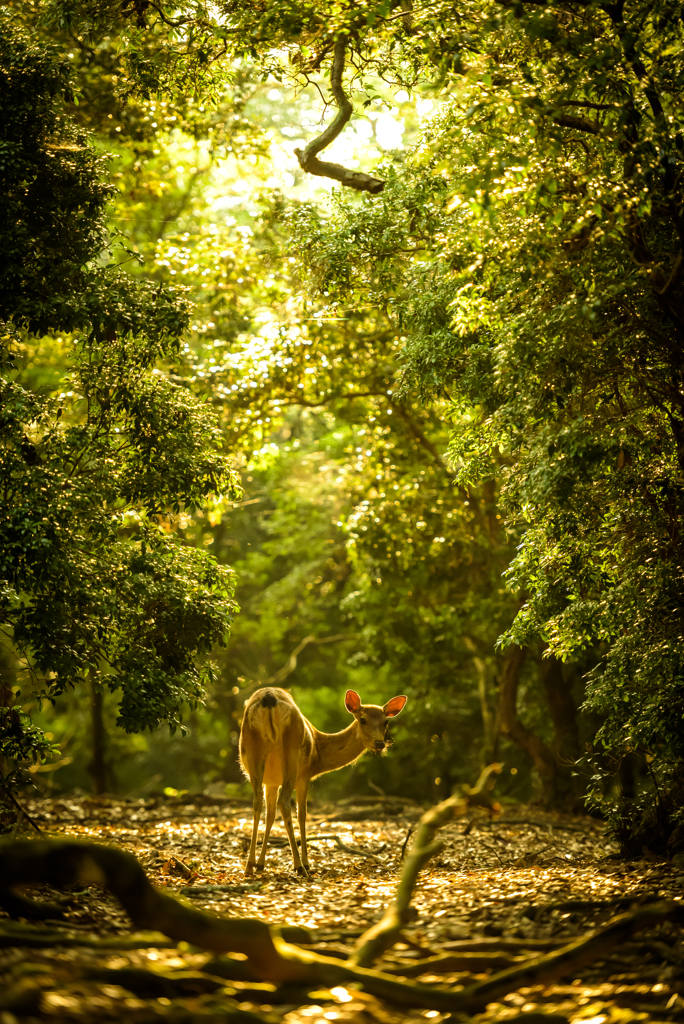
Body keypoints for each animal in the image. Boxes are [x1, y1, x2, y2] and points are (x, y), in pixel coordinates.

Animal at [239, 684, 405, 876]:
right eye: (362, 720)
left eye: (386, 722)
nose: (379, 744)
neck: (319, 753)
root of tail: (269, 698)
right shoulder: (305, 775)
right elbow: (302, 814)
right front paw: (306, 863)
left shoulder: (271, 781)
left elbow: (270, 815)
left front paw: (260, 864)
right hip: (292, 752)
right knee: (285, 803)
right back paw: (300, 866)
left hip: (253, 751)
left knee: (257, 801)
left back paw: (249, 865)